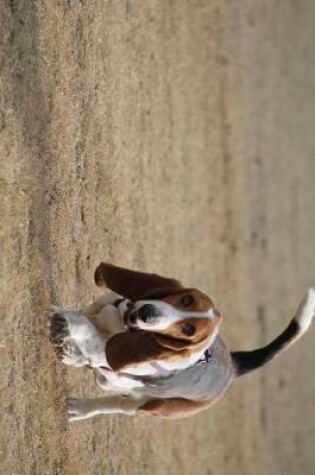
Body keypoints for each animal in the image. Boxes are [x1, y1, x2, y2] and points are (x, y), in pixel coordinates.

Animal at [49, 262, 315, 422]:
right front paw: (65, 324)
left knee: (117, 403)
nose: (148, 313)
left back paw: (81, 407)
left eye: (188, 330)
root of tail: (233, 365)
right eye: (186, 299)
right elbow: (85, 315)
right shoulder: (101, 306)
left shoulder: (105, 350)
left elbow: (87, 330)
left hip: (153, 406)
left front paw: (68, 325)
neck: (122, 325)